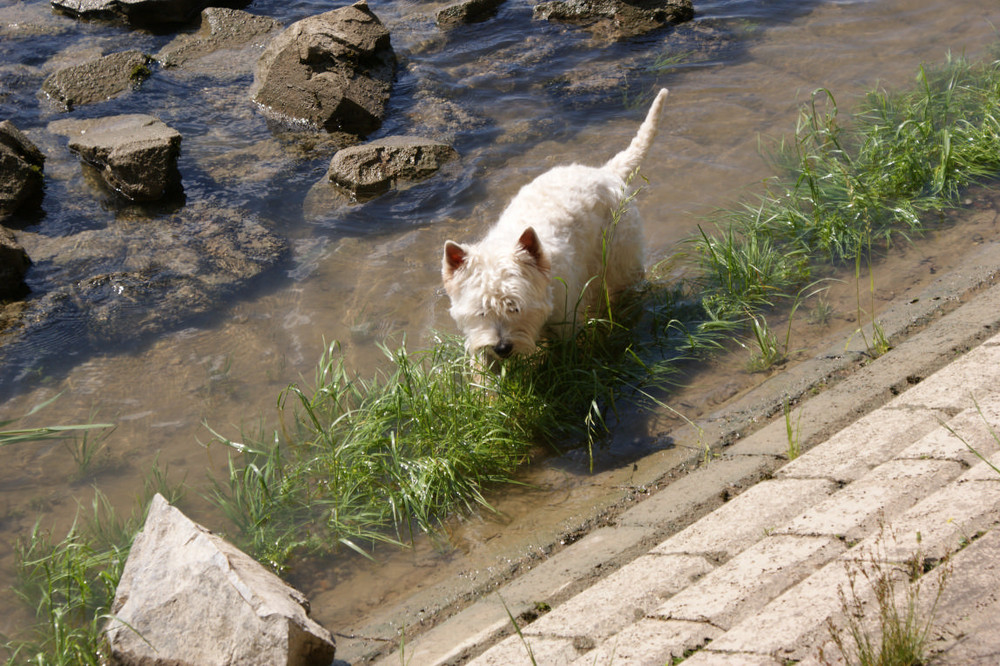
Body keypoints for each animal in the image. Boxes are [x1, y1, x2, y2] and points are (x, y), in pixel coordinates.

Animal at [442, 89, 668, 360]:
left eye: (515, 307)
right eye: (481, 312)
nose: (502, 348)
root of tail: (607, 172)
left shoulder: (566, 319)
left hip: (619, 255)